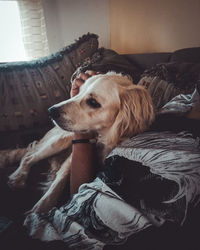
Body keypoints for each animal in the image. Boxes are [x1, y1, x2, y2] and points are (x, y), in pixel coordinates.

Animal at [0, 71, 155, 214]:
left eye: (93, 102)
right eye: (79, 92)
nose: (50, 111)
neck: (101, 140)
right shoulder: (70, 159)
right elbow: (56, 186)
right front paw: (37, 213)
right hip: (61, 139)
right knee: (29, 157)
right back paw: (19, 176)